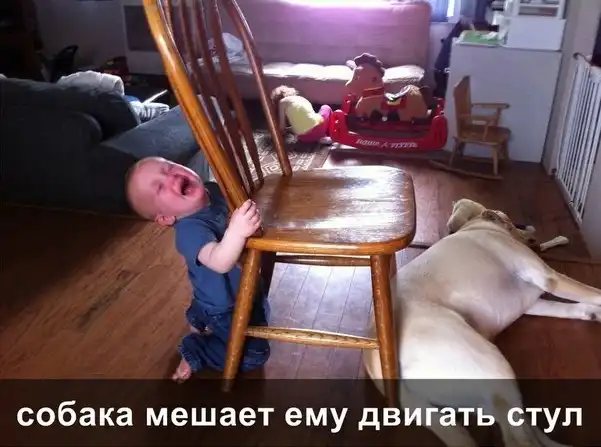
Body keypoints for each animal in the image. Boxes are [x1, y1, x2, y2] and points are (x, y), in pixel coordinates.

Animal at [363, 199, 601, 447]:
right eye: (514, 223)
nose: (531, 234)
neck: (480, 226)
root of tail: (376, 363)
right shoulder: (549, 278)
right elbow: (592, 292)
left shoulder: (532, 303)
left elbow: (569, 307)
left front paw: (593, 312)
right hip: (492, 363)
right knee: (519, 439)